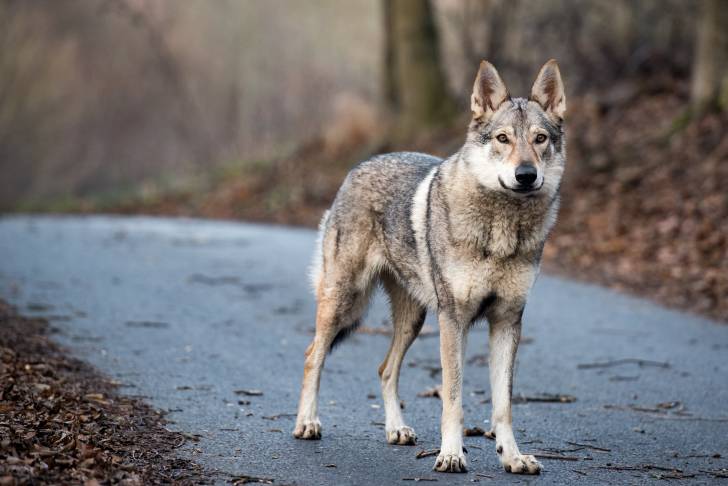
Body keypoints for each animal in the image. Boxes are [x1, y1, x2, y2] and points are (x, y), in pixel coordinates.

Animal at [293, 60, 566, 475]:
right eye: (503, 138)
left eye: (539, 139)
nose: (525, 175)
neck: (503, 228)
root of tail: (359, 166)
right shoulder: (453, 320)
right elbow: (452, 397)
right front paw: (451, 454)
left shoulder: (507, 321)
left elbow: (503, 406)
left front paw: (514, 457)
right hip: (345, 302)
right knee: (312, 355)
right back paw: (307, 423)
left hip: (413, 320)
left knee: (385, 369)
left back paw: (397, 430)